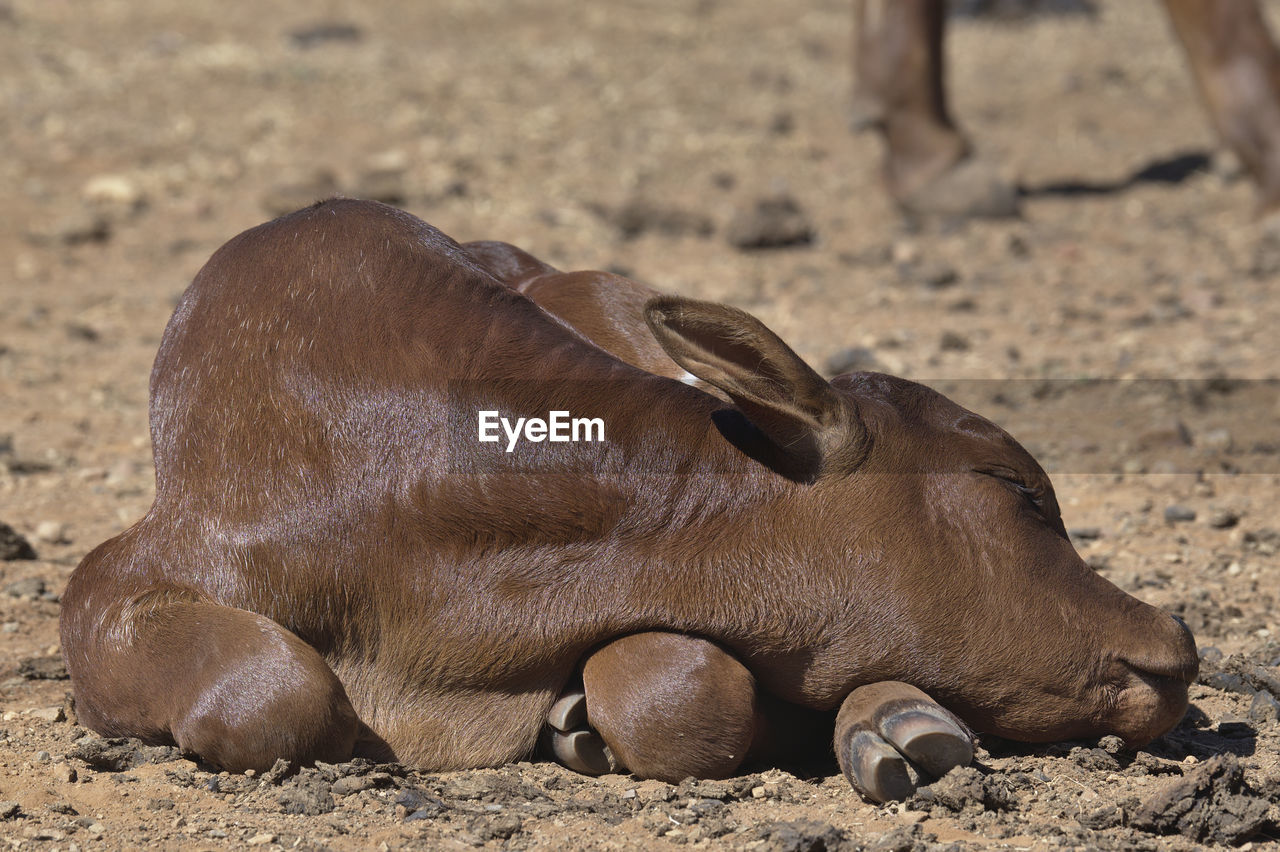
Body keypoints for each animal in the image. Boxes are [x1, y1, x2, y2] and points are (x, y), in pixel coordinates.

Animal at [62, 199, 1198, 803]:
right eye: (1018, 490)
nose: (1176, 647)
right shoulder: (120, 577)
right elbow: (269, 692)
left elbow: (690, 687)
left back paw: (901, 722)